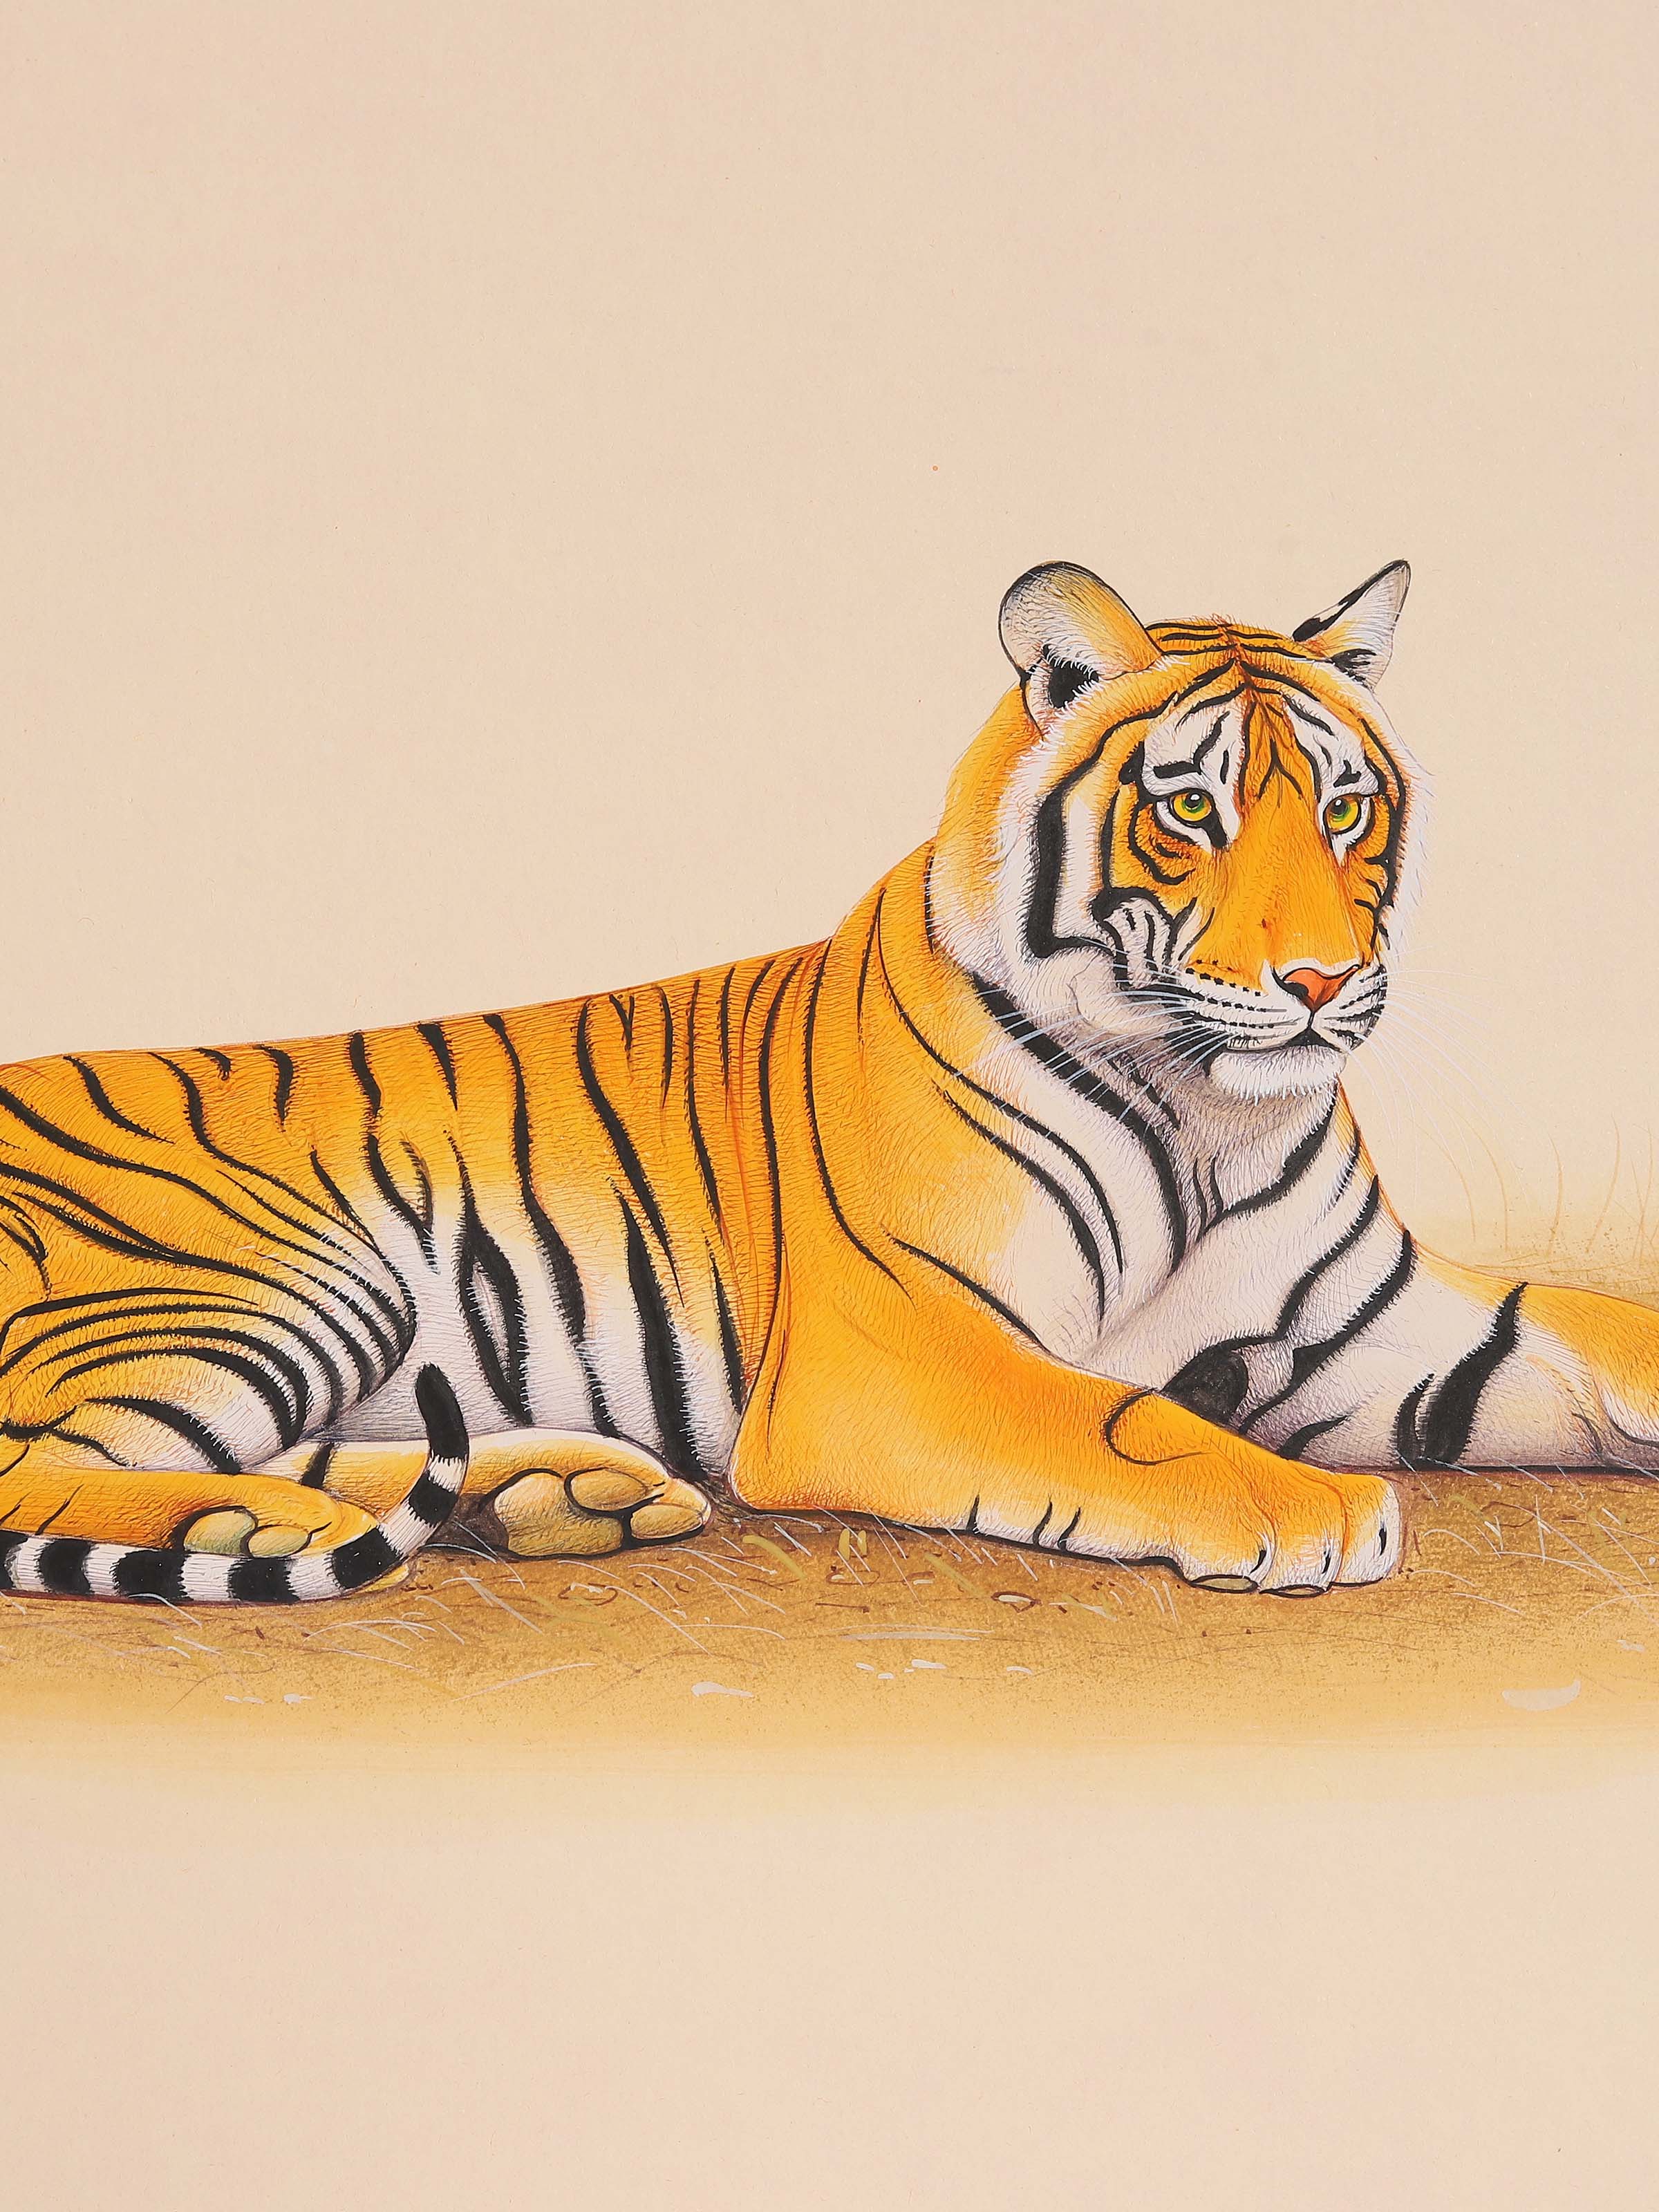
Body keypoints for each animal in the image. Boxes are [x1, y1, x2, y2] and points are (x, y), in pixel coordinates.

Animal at [3, 555, 1656, 1608]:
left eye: (1345, 806)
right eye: (1191, 811)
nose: (1319, 983)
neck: (1206, 1115)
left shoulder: (1380, 1324)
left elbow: (1595, 1328)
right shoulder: (903, 1347)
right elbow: (1129, 1422)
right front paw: (1313, 1509)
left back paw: (566, 1495)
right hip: (257, 1275)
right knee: (44, 1466)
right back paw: (261, 1518)